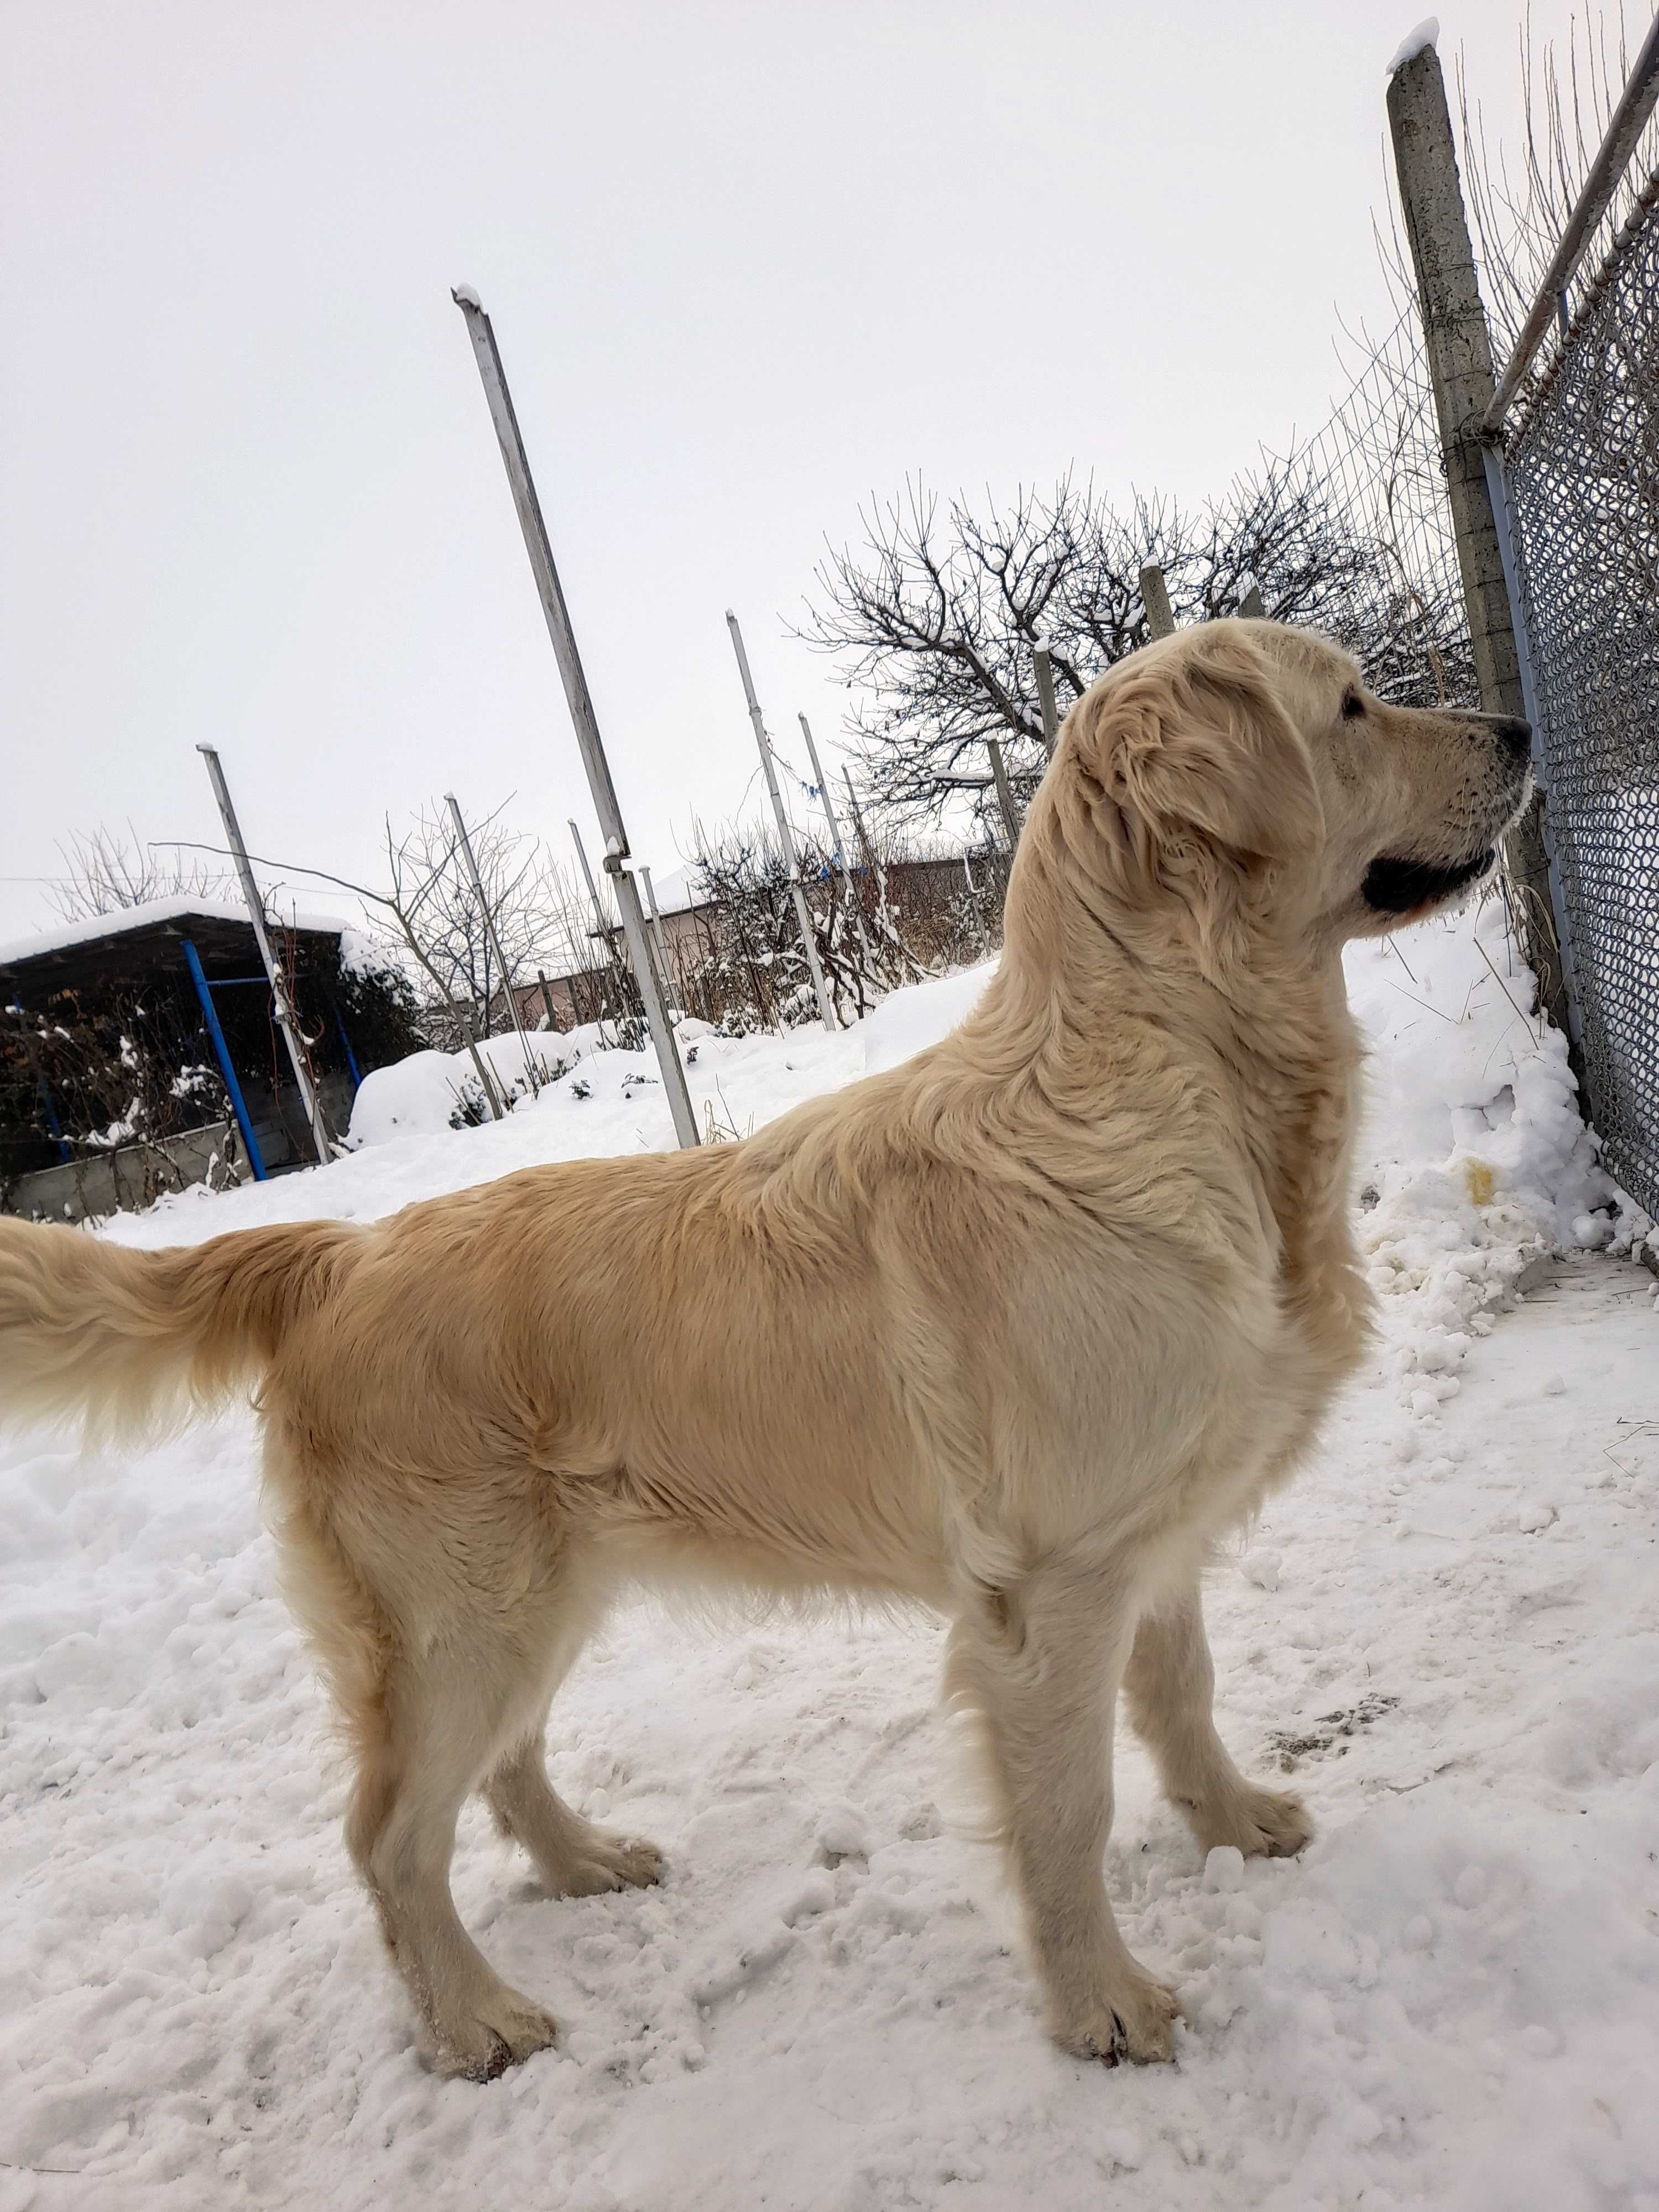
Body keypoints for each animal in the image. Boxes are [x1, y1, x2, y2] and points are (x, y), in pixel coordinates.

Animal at [0, 619, 1531, 2070]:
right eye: (1349, 705)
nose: (1516, 729)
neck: (1167, 1074)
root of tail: (333, 1253)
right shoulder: (1051, 1585)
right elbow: (1070, 1812)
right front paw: (1101, 2003)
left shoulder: (1150, 1532)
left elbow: (1186, 1699)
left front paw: (1233, 1823)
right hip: (460, 1615)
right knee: (388, 1836)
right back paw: (475, 2021)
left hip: (535, 1594)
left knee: (499, 1769)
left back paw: (587, 1862)